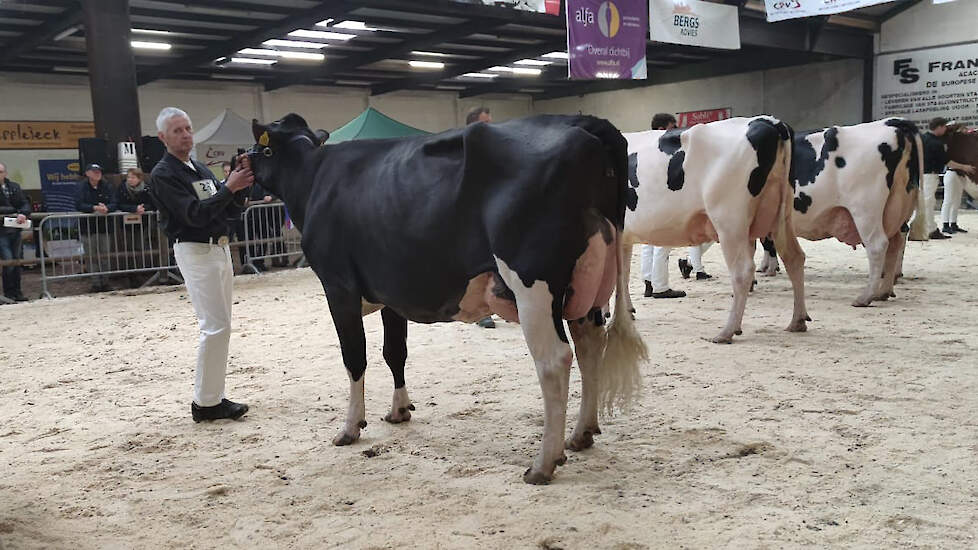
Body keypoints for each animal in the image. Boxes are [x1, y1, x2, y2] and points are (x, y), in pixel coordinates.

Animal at [248, 114, 644, 486]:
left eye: (258, 149)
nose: (240, 162)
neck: (313, 176)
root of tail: (582, 122)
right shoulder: (392, 295)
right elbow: (395, 353)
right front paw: (399, 411)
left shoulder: (338, 287)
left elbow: (354, 358)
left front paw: (350, 427)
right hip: (586, 286)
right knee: (589, 345)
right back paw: (581, 434)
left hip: (533, 282)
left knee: (554, 360)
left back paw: (543, 462)